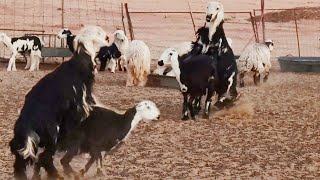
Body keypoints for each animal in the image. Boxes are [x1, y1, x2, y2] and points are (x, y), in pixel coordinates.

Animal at [8, 25, 109, 180]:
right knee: (45, 158)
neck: (78, 64)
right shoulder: (80, 107)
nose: (108, 37)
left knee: (21, 163)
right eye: (99, 33)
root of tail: (26, 121)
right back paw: (57, 174)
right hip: (51, 135)